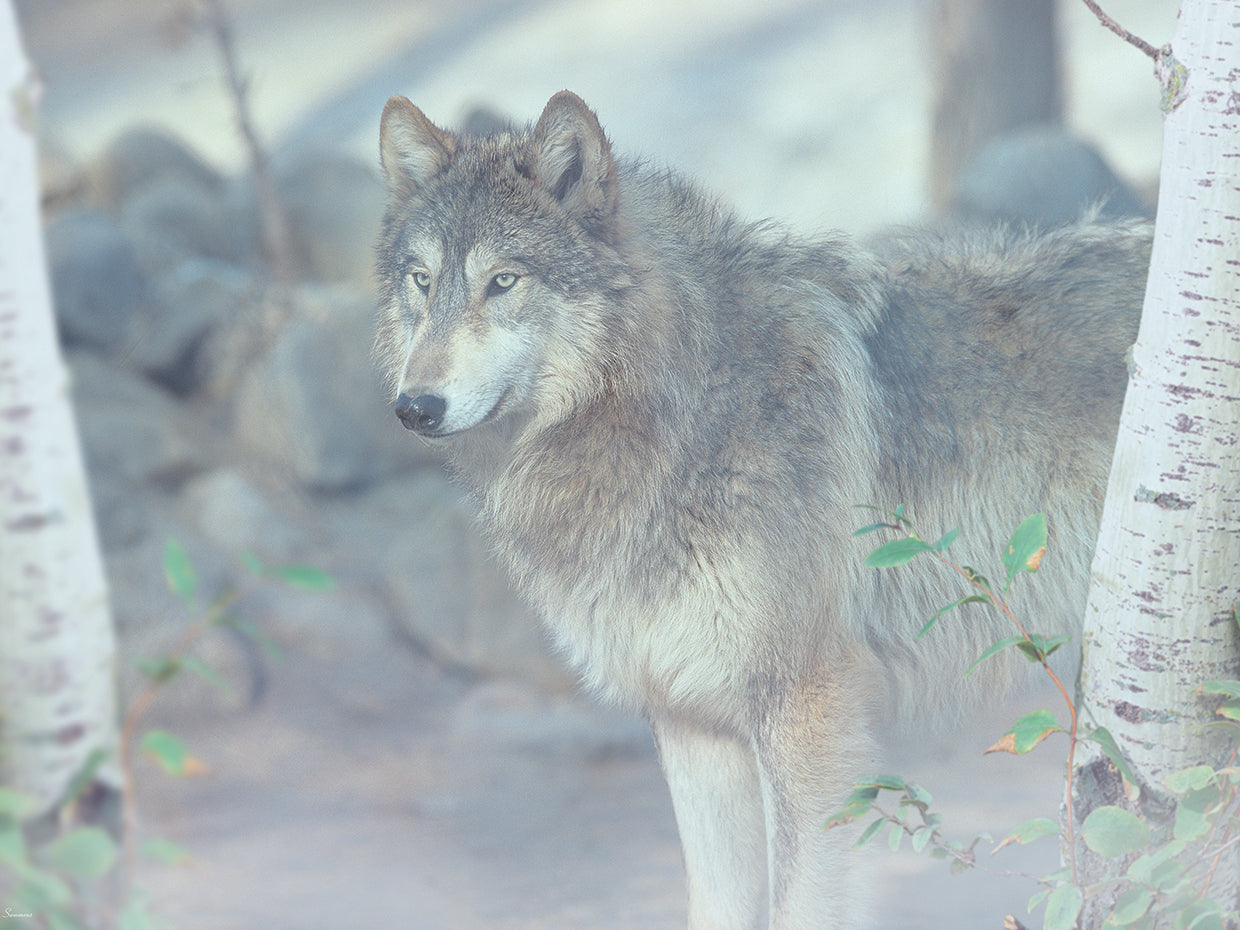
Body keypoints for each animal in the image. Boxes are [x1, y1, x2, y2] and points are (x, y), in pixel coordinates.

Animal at [374, 90, 1151, 929]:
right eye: (422, 281)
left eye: (504, 281)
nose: (414, 407)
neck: (682, 406)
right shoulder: (692, 722)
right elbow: (714, 902)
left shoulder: (806, 710)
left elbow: (801, 901)